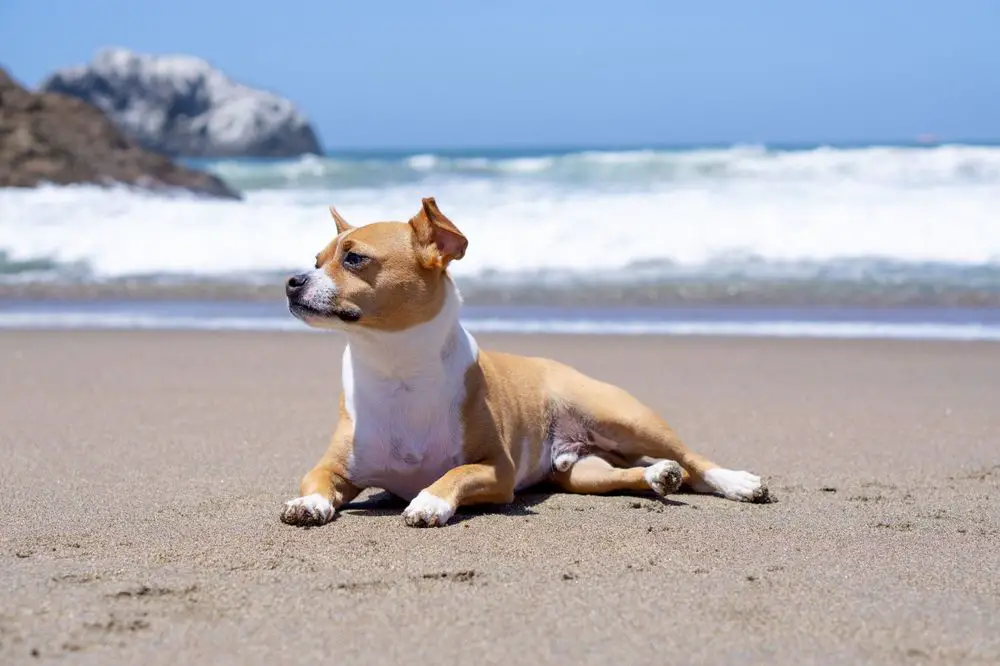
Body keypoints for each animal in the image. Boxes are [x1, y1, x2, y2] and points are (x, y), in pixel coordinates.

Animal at [282, 195, 772, 528]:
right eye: (316, 261)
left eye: (354, 258)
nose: (291, 281)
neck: (395, 366)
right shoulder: (333, 467)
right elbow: (315, 481)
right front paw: (308, 504)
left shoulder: (496, 470)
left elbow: (454, 473)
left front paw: (428, 500)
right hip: (583, 474)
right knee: (642, 472)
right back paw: (657, 476)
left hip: (624, 416)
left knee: (693, 459)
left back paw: (738, 483)